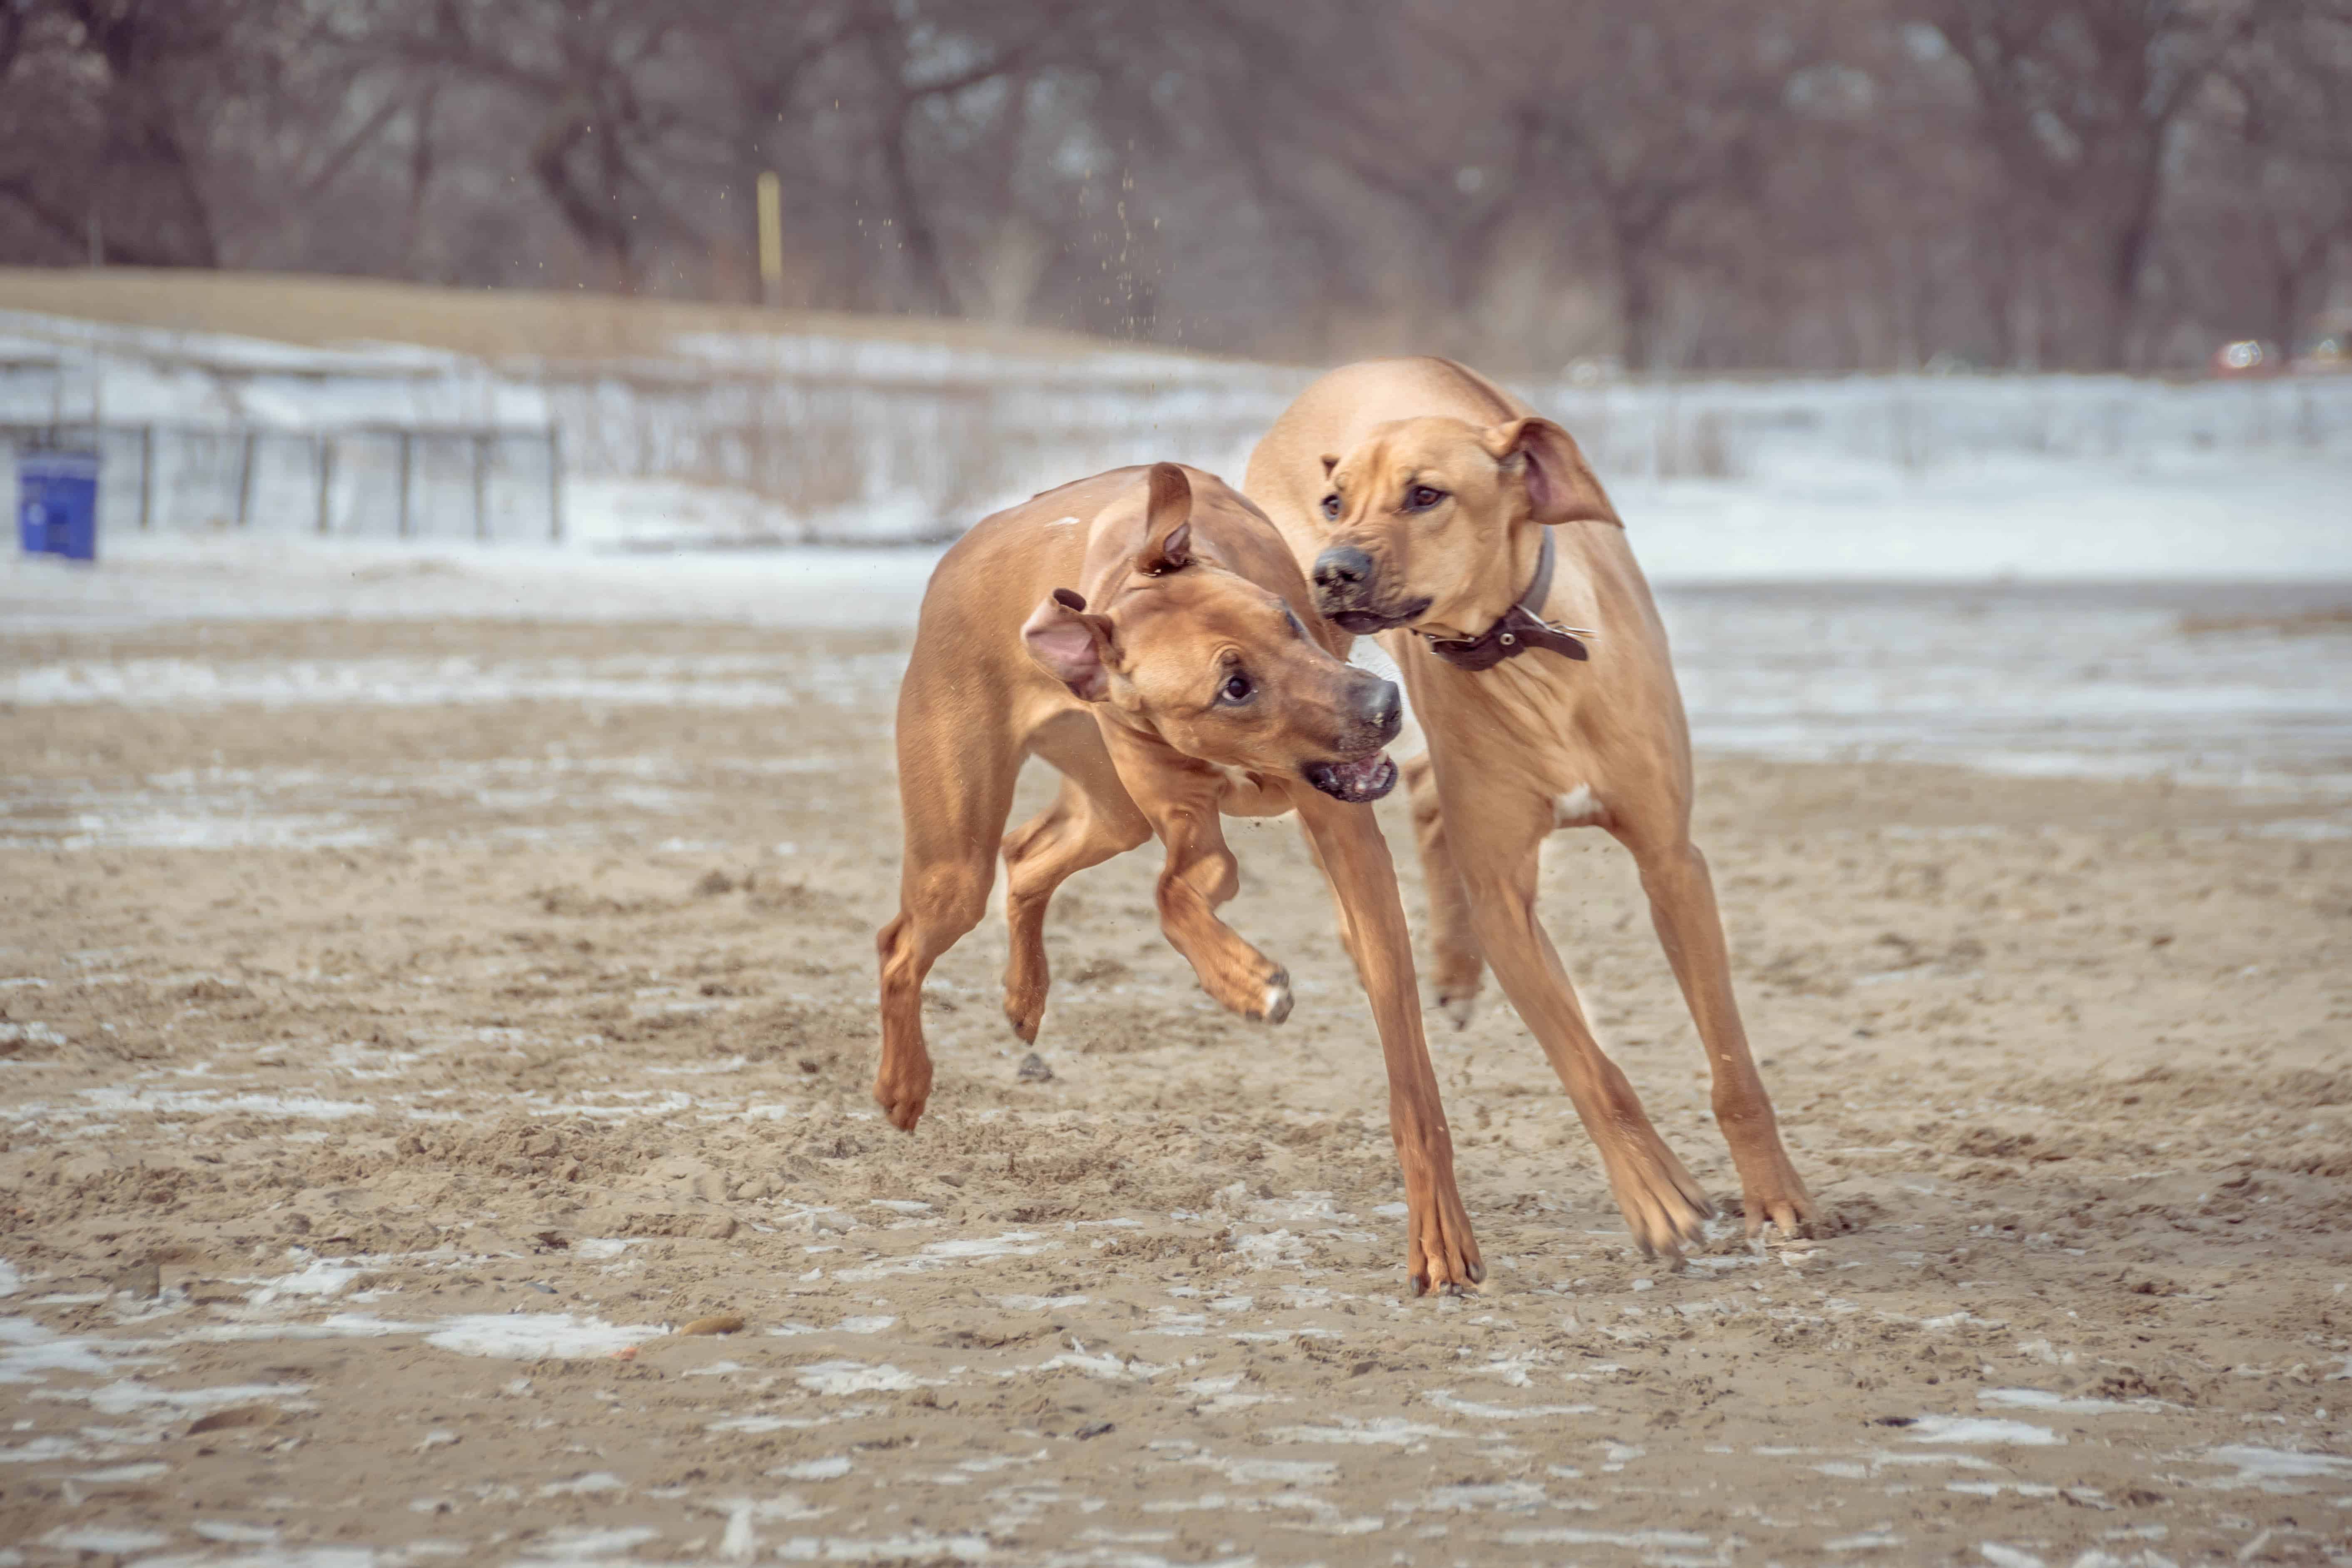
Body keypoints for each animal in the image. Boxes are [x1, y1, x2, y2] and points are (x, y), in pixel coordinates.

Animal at [875, 460, 1477, 1297]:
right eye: (1235, 687)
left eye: (1288, 620)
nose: (1384, 704)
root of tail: (961, 549)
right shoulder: (1186, 814)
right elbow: (1173, 892)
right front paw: (1247, 981)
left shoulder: (1344, 838)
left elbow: (1410, 1076)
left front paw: (1439, 1231)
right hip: (955, 857)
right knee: (903, 940)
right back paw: (904, 1081)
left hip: (1108, 810)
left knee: (1025, 857)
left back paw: (1025, 995)